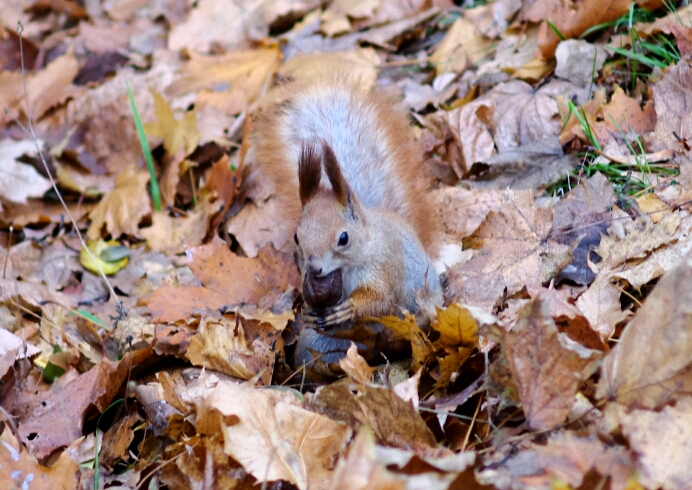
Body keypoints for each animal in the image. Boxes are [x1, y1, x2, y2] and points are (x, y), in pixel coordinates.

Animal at [249, 74, 444, 330]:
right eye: (296, 237)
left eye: (344, 238)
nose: (314, 268)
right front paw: (307, 310)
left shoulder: (383, 268)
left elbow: (382, 301)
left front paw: (349, 309)